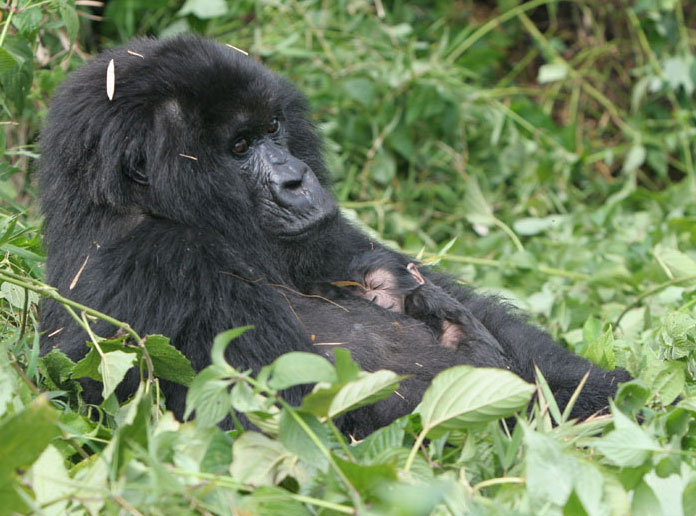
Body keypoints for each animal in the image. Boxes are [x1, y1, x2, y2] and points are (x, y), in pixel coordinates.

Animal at [39, 35, 632, 436]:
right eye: (239, 147)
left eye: (273, 128)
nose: (297, 180)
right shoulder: (163, 262)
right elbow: (282, 420)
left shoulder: (329, 235)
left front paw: (606, 391)